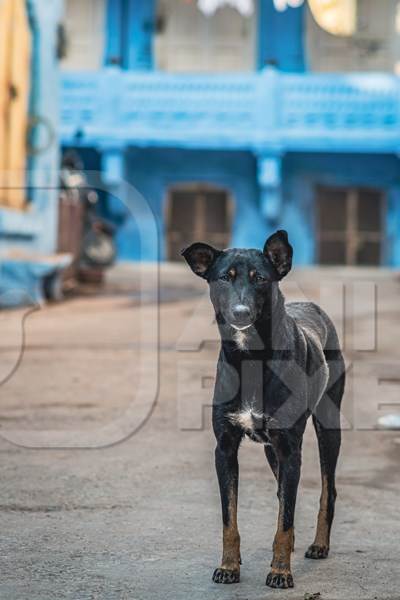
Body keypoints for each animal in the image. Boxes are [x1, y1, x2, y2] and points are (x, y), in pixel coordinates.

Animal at [183, 231, 346, 592]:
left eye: (260, 278)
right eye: (224, 278)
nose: (241, 312)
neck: (250, 357)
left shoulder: (290, 448)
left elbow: (284, 519)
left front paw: (281, 572)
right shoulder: (226, 448)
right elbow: (230, 519)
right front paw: (229, 566)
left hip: (328, 426)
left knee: (327, 490)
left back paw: (319, 544)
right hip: (274, 452)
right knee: (283, 492)